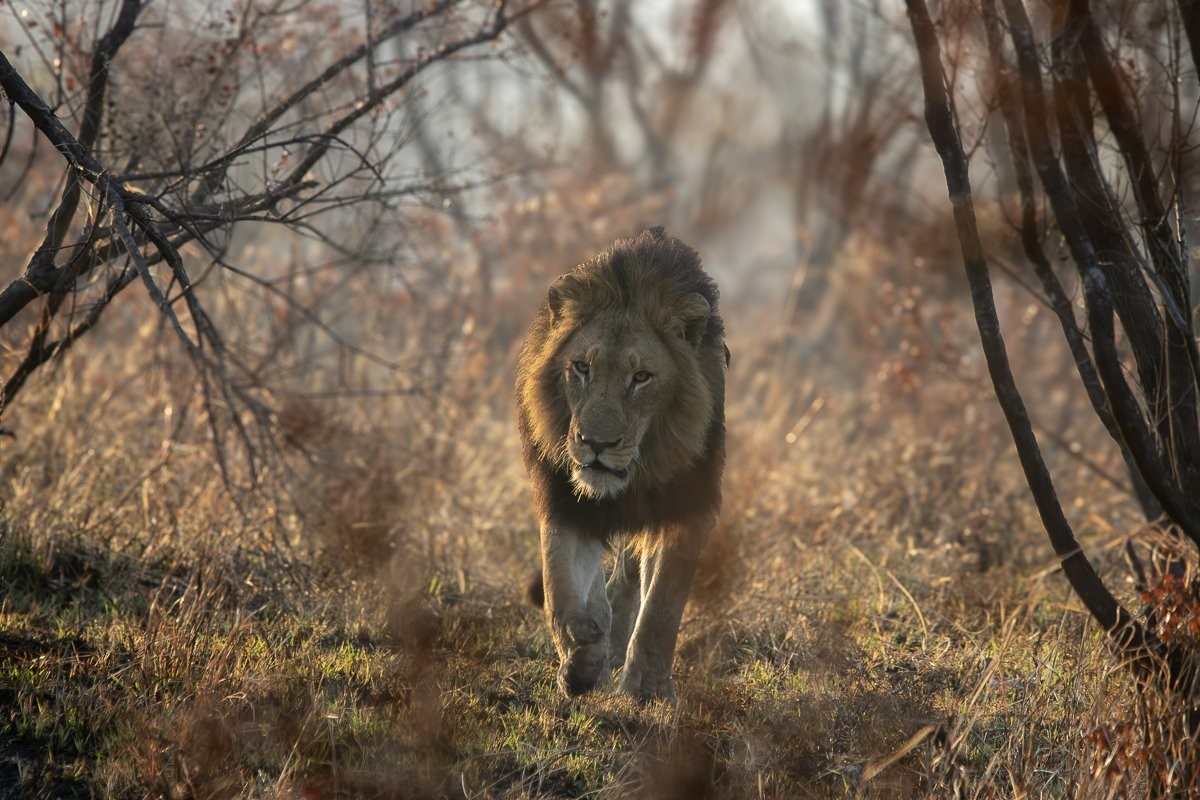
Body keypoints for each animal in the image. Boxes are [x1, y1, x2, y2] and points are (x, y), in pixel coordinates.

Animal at [515, 227, 728, 703]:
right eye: (581, 368)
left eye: (641, 378)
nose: (596, 444)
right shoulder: (565, 501)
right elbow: (560, 587)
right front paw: (582, 662)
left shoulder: (688, 509)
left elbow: (663, 606)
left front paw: (647, 689)